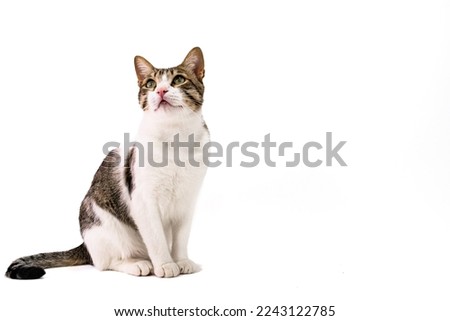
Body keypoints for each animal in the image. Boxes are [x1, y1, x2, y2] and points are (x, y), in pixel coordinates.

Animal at [5, 47, 209, 278]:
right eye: (150, 84)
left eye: (179, 80)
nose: (161, 91)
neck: (175, 137)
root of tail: (85, 245)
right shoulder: (144, 201)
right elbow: (156, 239)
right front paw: (165, 264)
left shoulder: (188, 201)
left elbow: (181, 237)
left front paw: (181, 260)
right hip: (103, 224)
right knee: (106, 262)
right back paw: (138, 264)